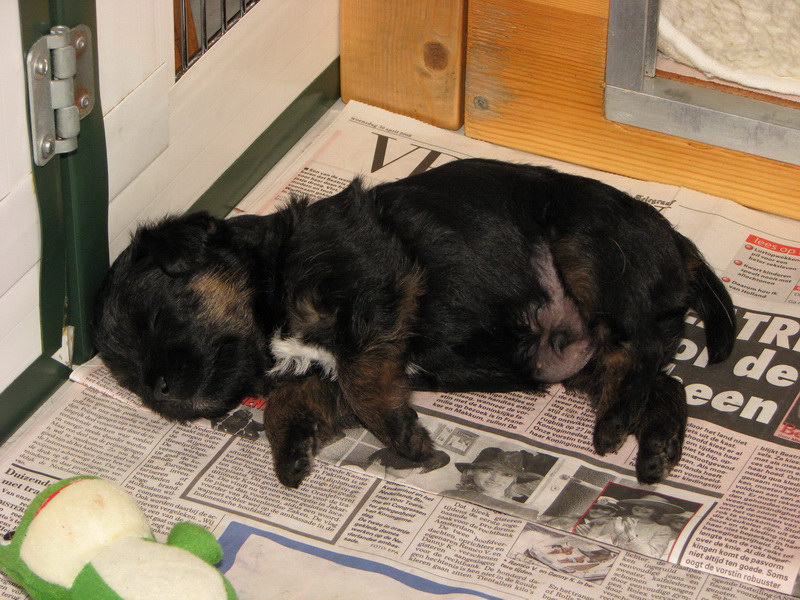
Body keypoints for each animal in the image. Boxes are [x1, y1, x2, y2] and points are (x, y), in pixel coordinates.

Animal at [92, 158, 736, 487]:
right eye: (129, 378)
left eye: (156, 315)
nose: (159, 391)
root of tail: (678, 243)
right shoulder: (325, 367)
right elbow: (298, 401)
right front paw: (293, 454)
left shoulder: (376, 285)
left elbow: (361, 380)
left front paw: (406, 440)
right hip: (586, 358)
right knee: (664, 382)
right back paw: (655, 451)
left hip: (589, 245)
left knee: (636, 353)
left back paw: (613, 428)